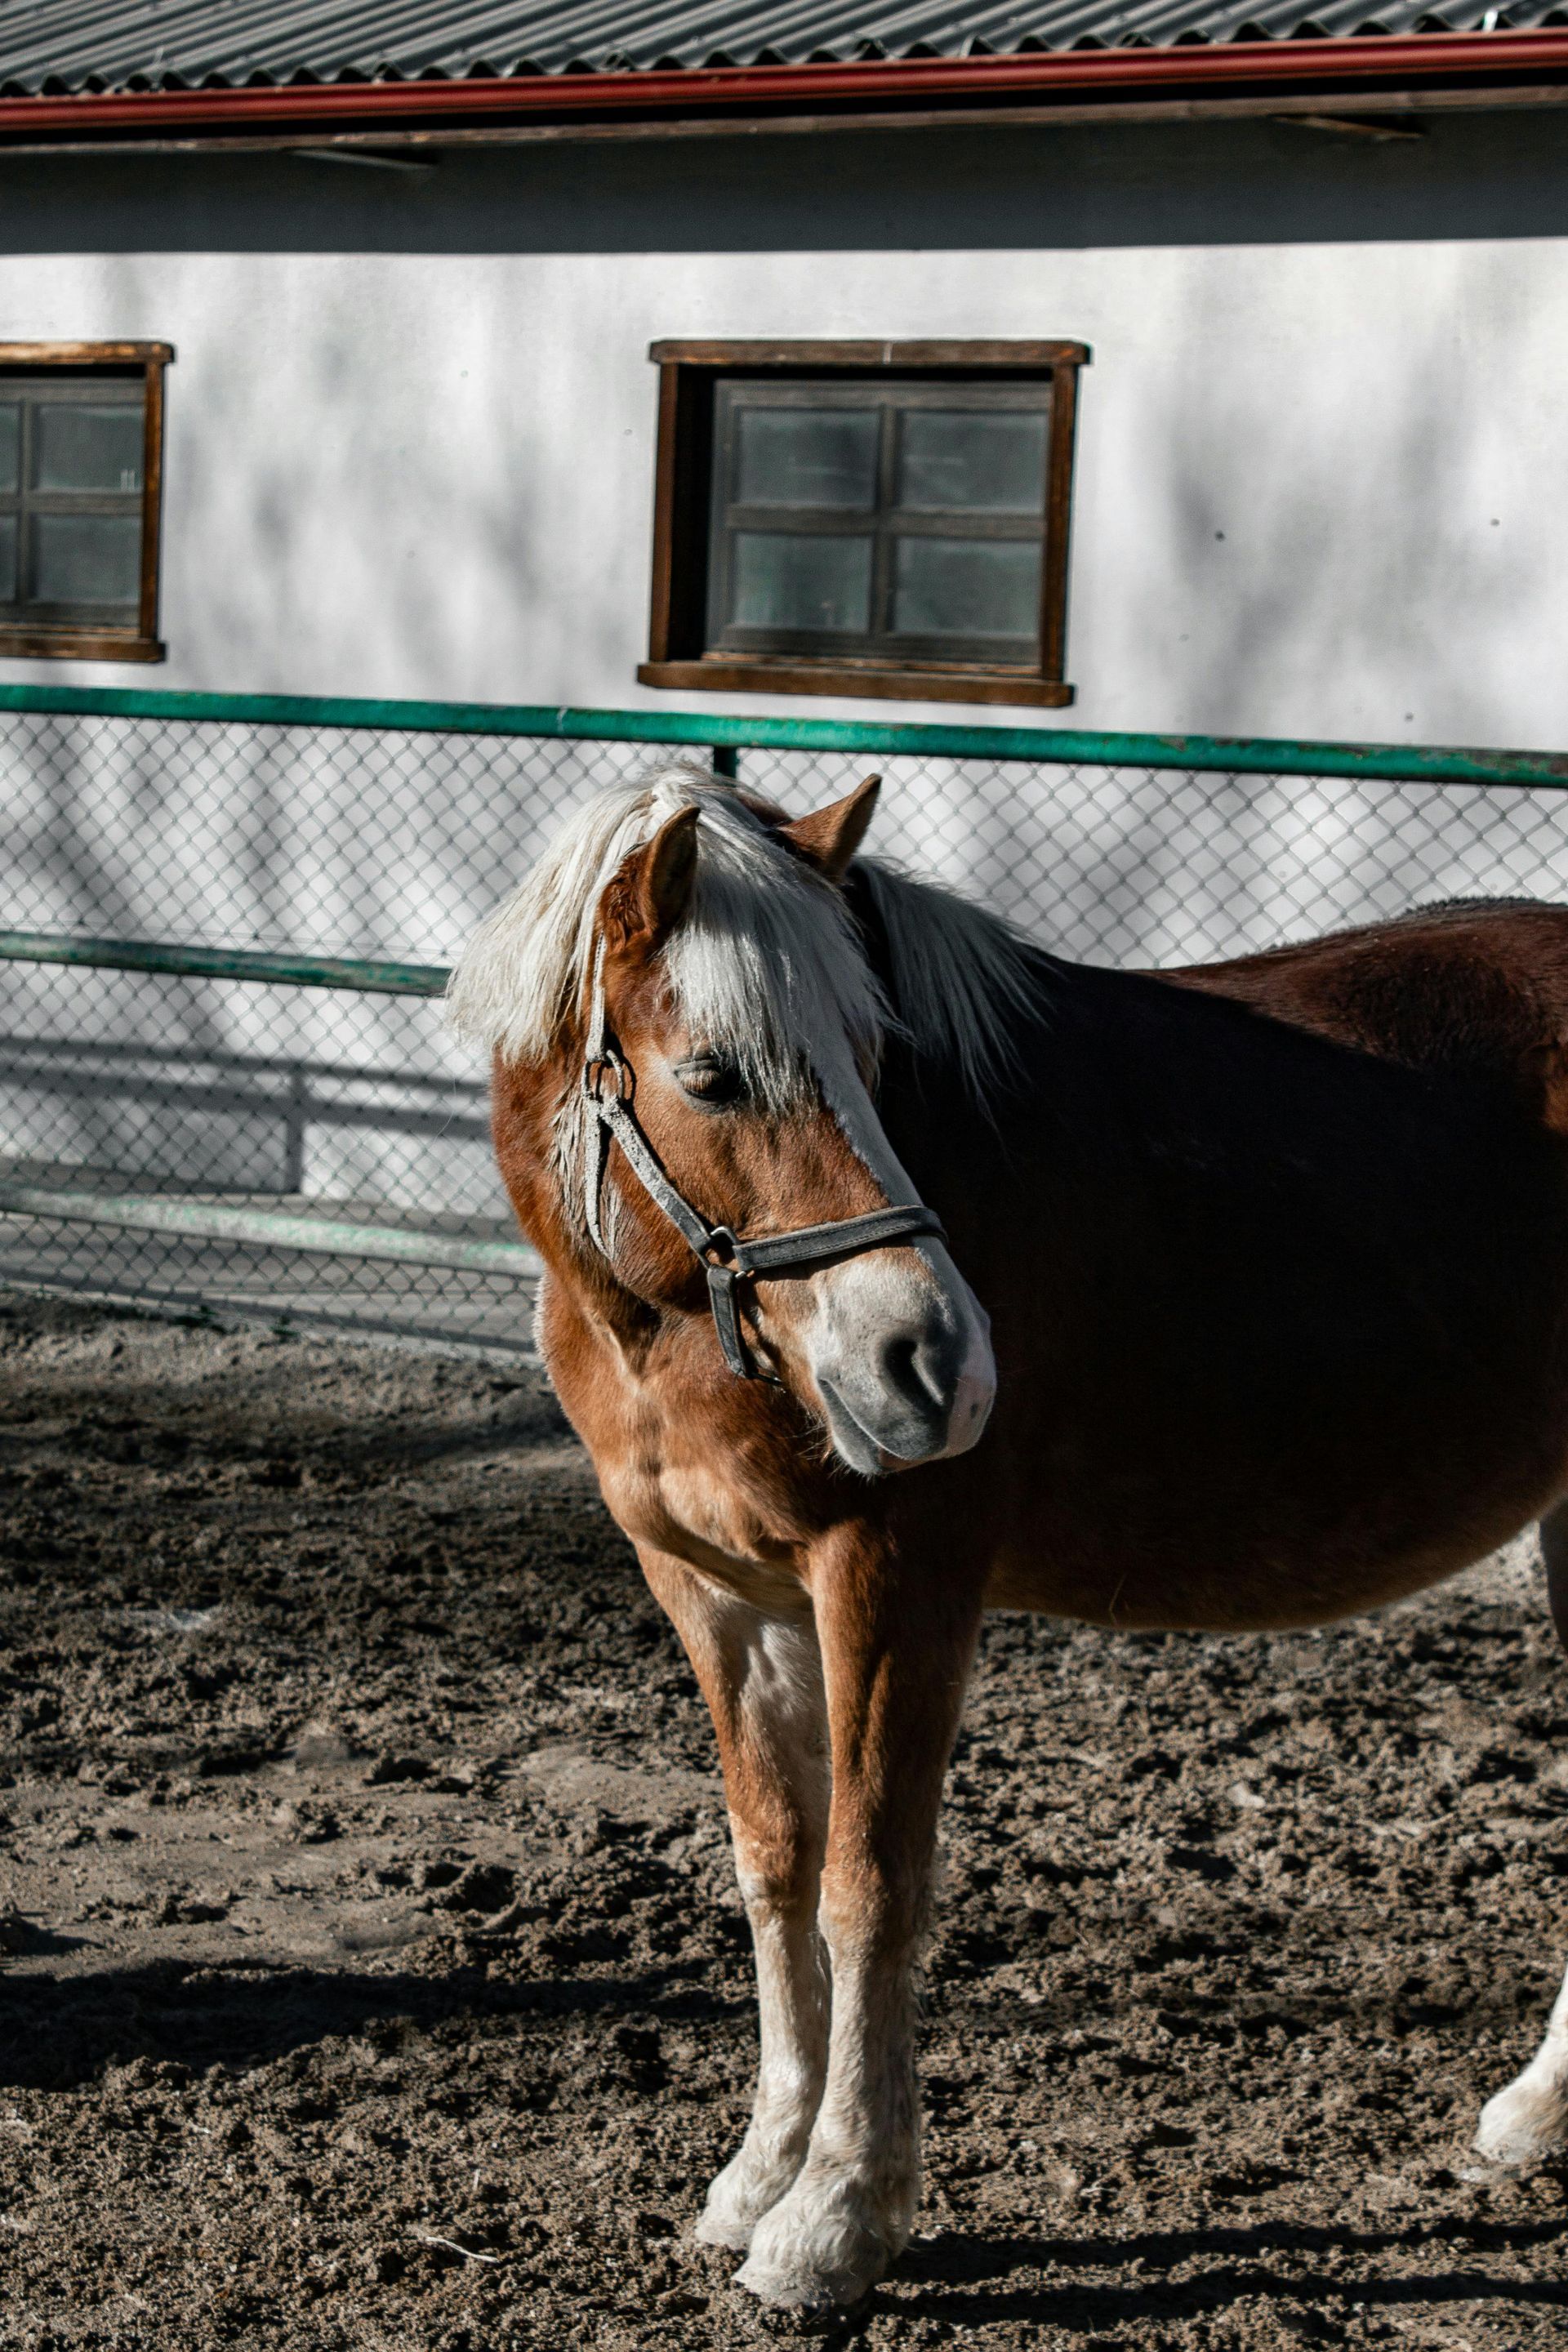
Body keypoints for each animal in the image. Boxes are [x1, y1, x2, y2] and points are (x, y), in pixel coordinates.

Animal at [447, 763, 1568, 2312]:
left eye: (873, 1052)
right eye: (711, 1074)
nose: (935, 1364)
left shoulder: (893, 1582)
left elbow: (869, 1886)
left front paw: (835, 2216)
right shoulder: (720, 1599)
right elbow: (773, 1869)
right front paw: (758, 2175)